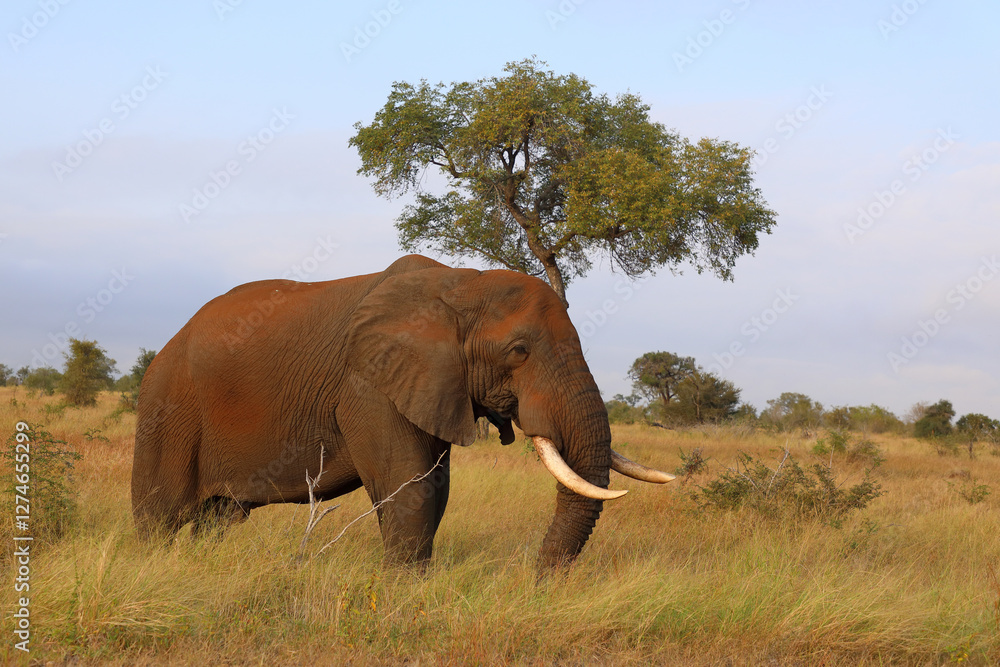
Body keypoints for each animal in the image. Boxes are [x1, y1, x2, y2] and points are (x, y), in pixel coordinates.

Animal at [132, 254, 674, 567]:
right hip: (167, 407)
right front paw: (403, 590)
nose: (538, 580)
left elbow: (434, 487)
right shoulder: (369, 384)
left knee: (218, 519)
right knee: (159, 516)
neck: (460, 284)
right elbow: (408, 485)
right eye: (519, 351)